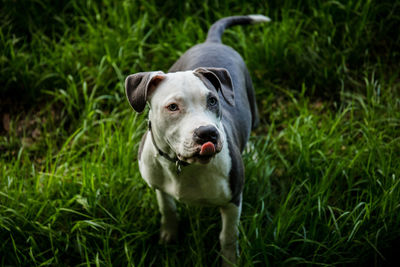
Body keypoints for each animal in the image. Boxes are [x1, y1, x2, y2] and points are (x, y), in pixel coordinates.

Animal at [125, 14, 268, 266]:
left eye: (213, 100)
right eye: (173, 107)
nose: (208, 133)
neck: (182, 165)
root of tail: (212, 41)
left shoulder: (233, 200)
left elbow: (228, 235)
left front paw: (230, 260)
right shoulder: (158, 186)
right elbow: (167, 209)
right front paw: (169, 235)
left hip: (251, 100)